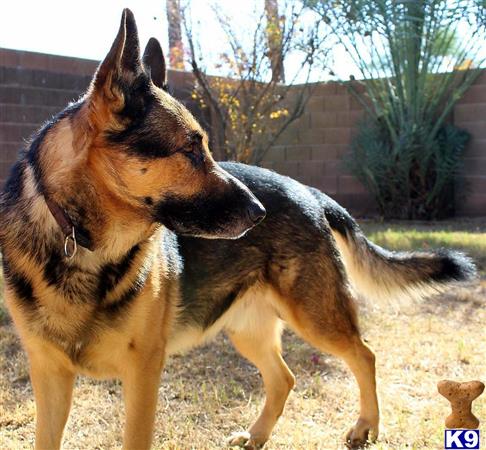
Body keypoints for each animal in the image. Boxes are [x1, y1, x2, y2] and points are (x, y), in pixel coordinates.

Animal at [0, 7, 476, 450]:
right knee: (285, 378)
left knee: (365, 355)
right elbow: (46, 438)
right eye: (192, 150)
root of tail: (309, 191)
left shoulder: (143, 372)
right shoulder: (50, 376)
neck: (85, 246)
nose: (260, 211)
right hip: (249, 330)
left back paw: (366, 426)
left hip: (316, 318)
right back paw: (258, 434)